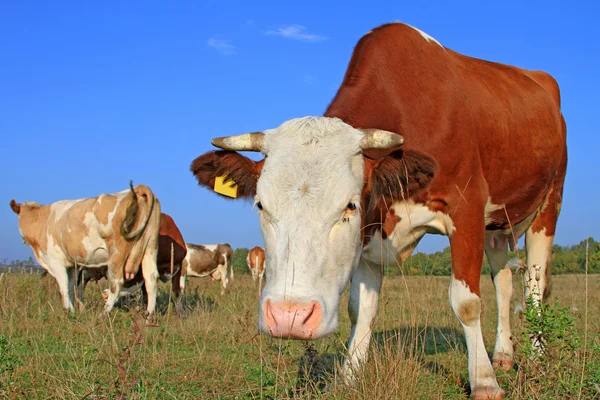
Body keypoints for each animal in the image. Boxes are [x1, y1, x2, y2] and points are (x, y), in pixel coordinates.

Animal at [9, 182, 164, 318]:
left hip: (117, 253)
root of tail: (138, 189)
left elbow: (63, 286)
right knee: (151, 279)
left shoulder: (55, 261)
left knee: (116, 284)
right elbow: (71, 287)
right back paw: (148, 316)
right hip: (150, 248)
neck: (42, 220)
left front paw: (68, 311)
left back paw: (103, 314)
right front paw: (73, 311)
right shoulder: (72, 265)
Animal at [190, 23, 568, 398]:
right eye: (260, 205)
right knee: (503, 282)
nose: (289, 317)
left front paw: (484, 381)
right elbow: (361, 308)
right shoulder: (370, 235)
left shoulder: (466, 210)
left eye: (350, 204)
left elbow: (466, 301)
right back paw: (503, 354)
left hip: (549, 204)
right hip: (498, 225)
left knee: (535, 284)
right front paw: (349, 376)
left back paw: (535, 356)